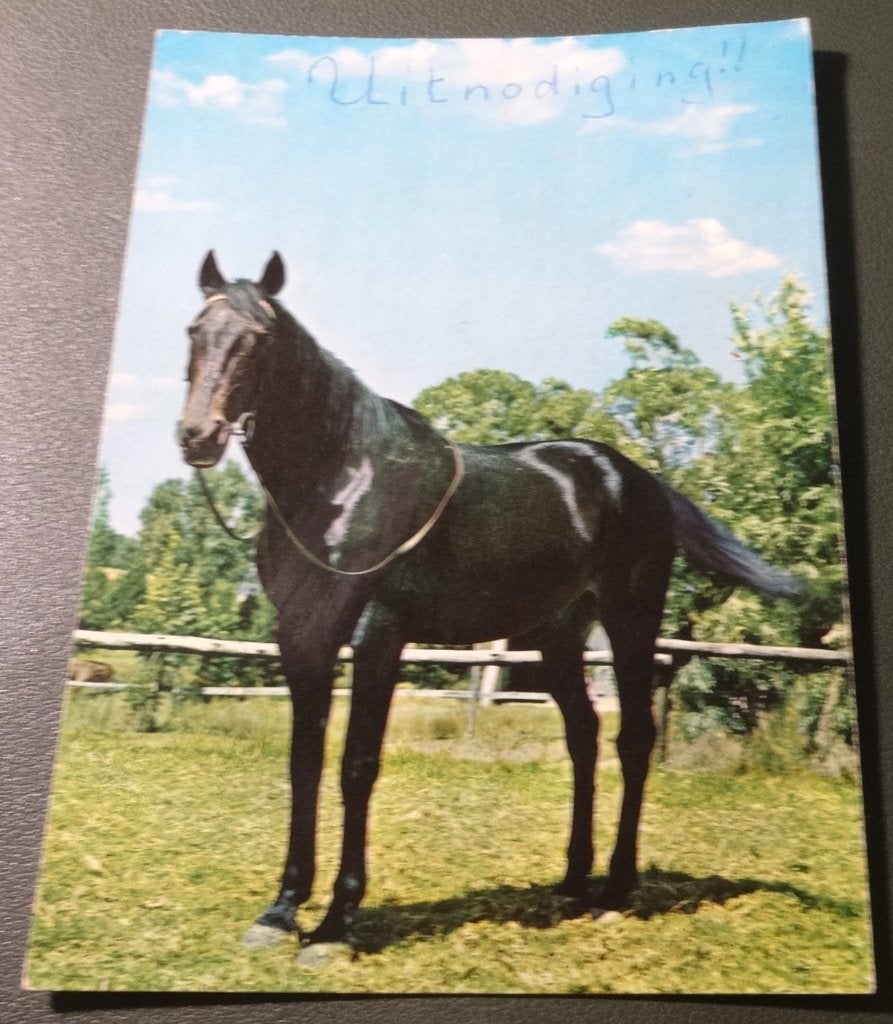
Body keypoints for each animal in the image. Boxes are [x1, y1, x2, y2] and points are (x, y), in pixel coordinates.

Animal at [177, 250, 800, 953]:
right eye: (195, 331)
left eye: (258, 339)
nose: (197, 436)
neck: (339, 482)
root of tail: (641, 482)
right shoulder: (302, 640)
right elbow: (303, 764)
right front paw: (281, 910)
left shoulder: (377, 636)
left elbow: (357, 765)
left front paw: (337, 924)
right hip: (556, 636)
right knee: (583, 736)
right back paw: (572, 882)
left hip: (630, 620)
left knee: (634, 738)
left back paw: (615, 890)